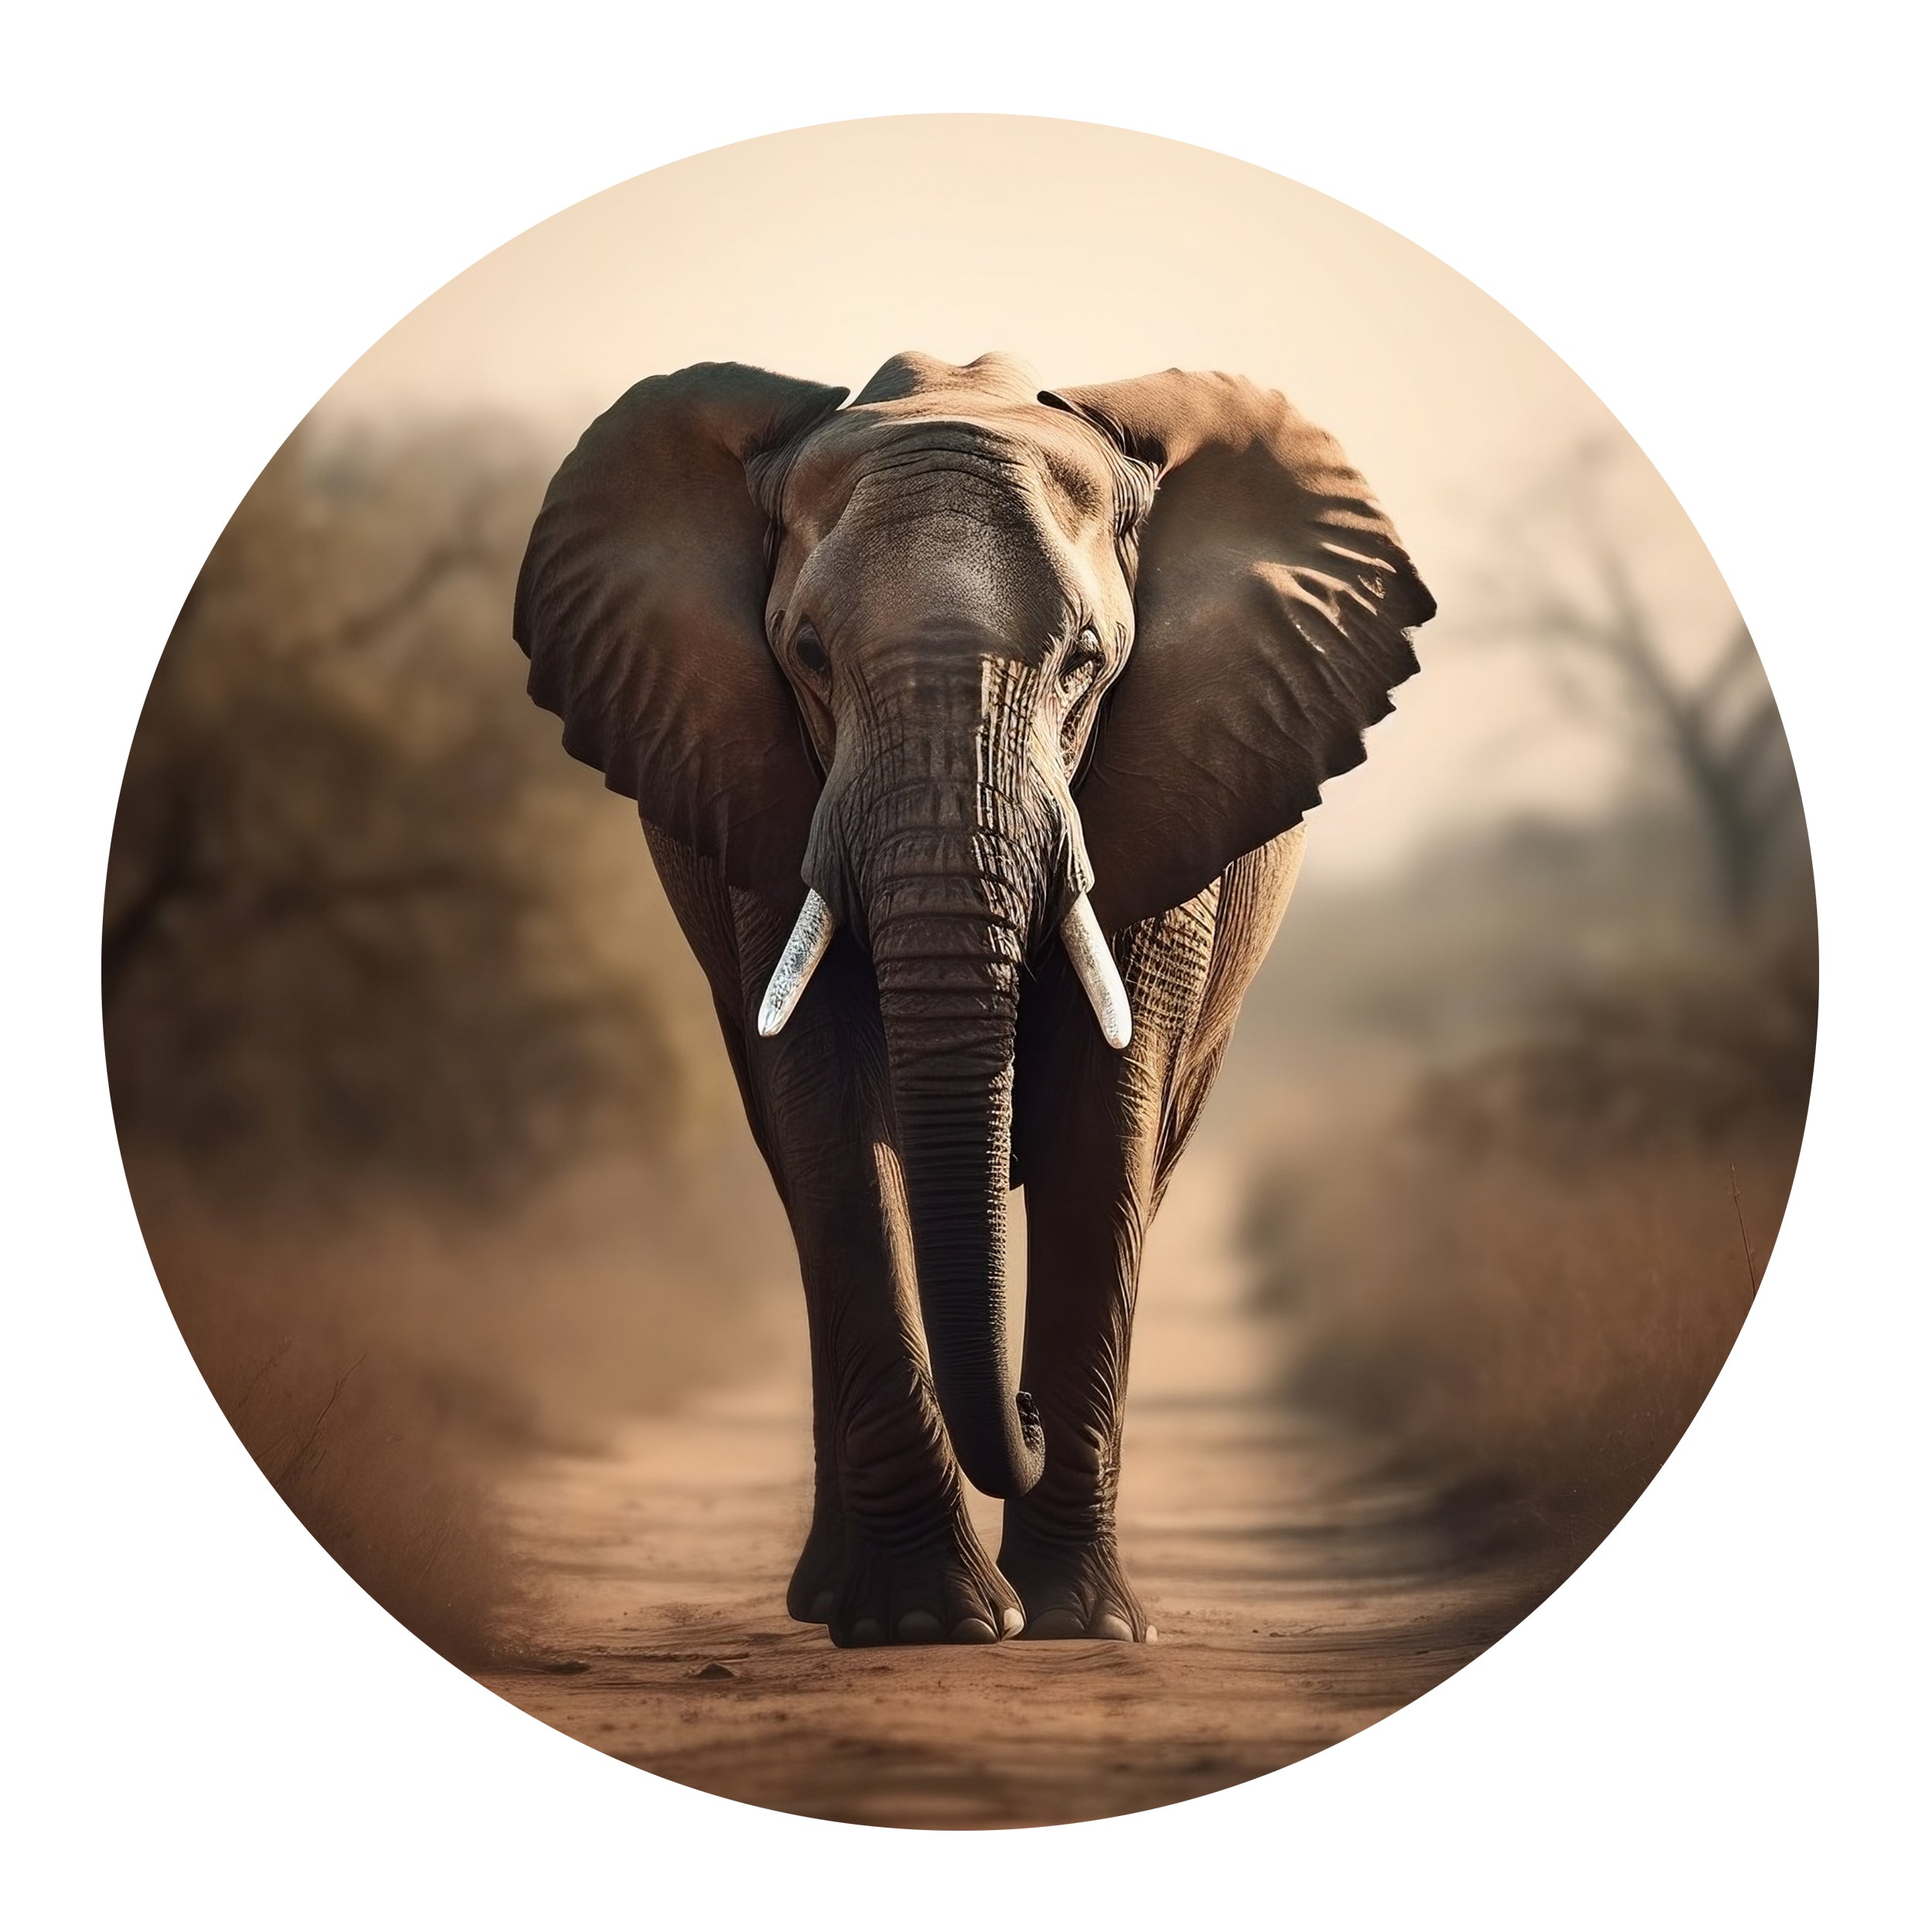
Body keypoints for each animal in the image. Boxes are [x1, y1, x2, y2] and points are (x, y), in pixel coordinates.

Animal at [514, 351, 1433, 1647]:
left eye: (1089, 659)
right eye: (806, 654)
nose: (1028, 1414)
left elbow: (1107, 1114)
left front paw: (1082, 1628)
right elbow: (834, 1131)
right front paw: (928, 1624)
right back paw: (829, 1598)